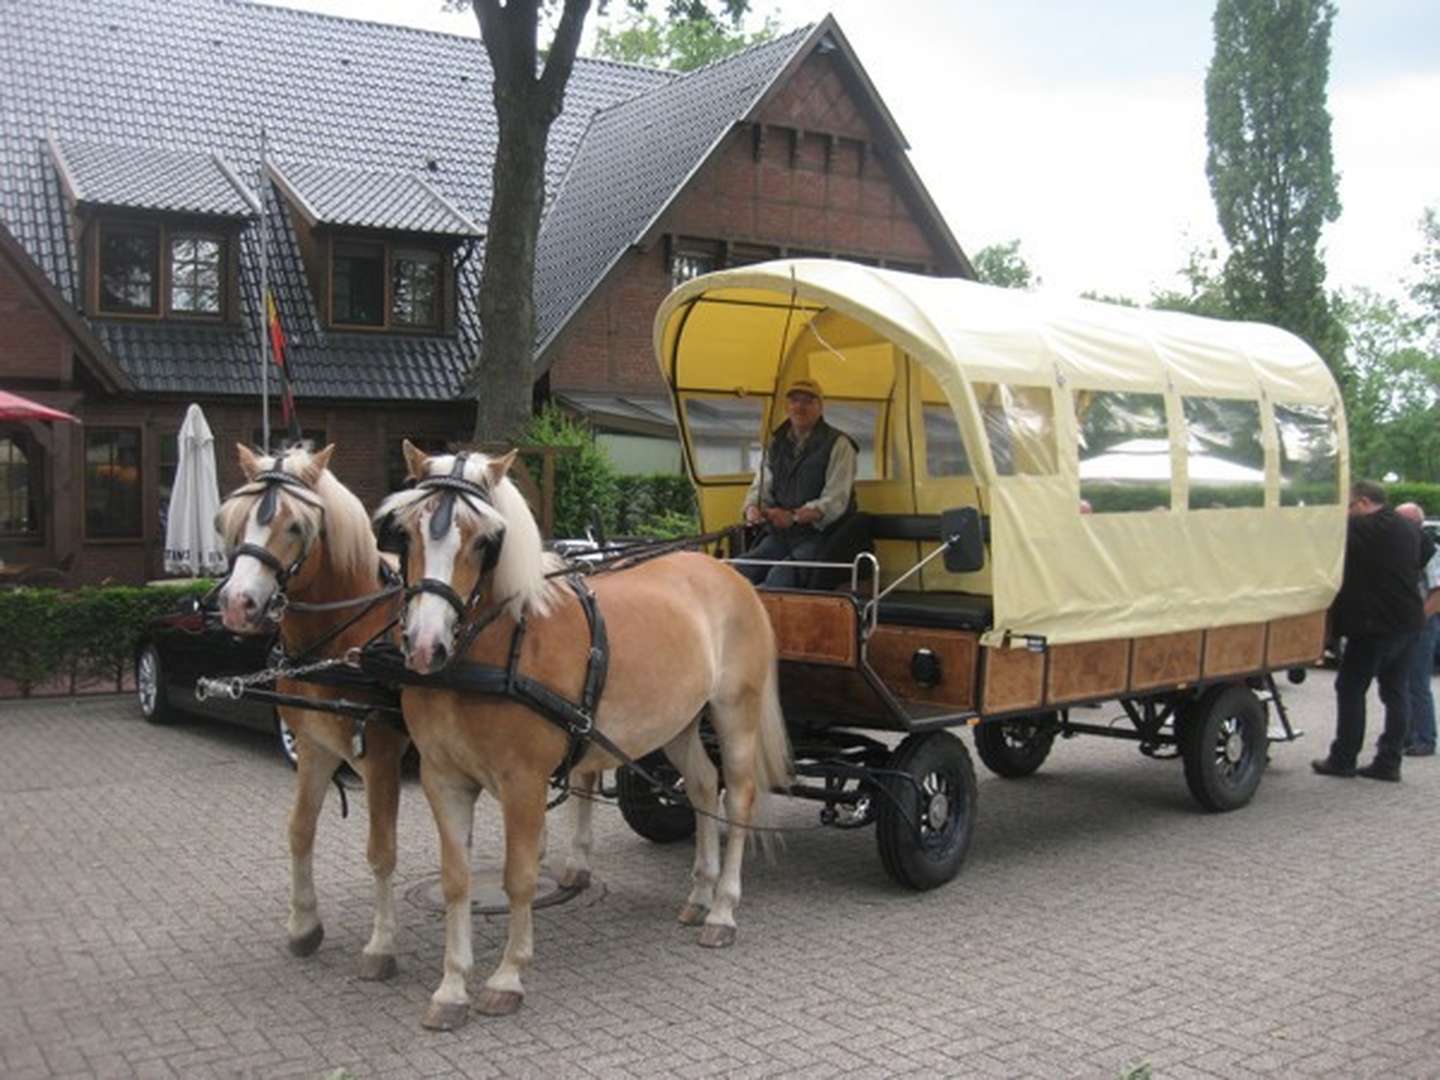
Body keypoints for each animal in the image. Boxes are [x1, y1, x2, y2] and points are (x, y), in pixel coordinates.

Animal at [211, 443, 411, 984]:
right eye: (231, 520)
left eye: (296, 526)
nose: (237, 604)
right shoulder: (314, 746)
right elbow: (299, 829)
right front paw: (303, 925)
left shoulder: (382, 757)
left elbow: (381, 850)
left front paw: (382, 945)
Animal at [377, 440, 794, 1031]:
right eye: (407, 533)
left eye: (483, 541)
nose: (425, 646)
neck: (503, 646)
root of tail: (726, 573)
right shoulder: (443, 778)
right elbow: (457, 880)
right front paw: (451, 989)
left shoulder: (524, 783)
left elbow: (520, 877)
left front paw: (507, 978)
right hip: (678, 723)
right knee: (700, 786)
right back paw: (699, 893)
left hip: (736, 712)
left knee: (736, 799)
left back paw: (723, 909)